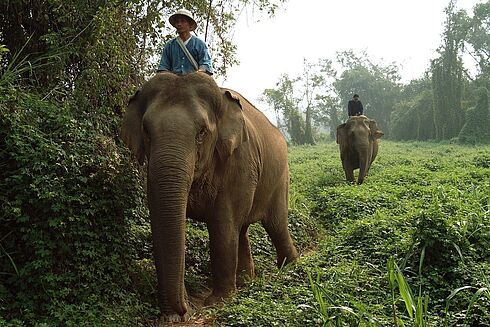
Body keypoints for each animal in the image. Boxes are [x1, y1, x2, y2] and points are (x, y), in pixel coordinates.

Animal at [121, 72, 300, 322]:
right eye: (146, 131)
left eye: (202, 132)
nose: (184, 310)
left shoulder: (239, 160)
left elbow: (222, 225)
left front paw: (218, 301)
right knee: (242, 228)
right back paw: (246, 281)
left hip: (280, 176)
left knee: (276, 224)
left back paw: (291, 267)